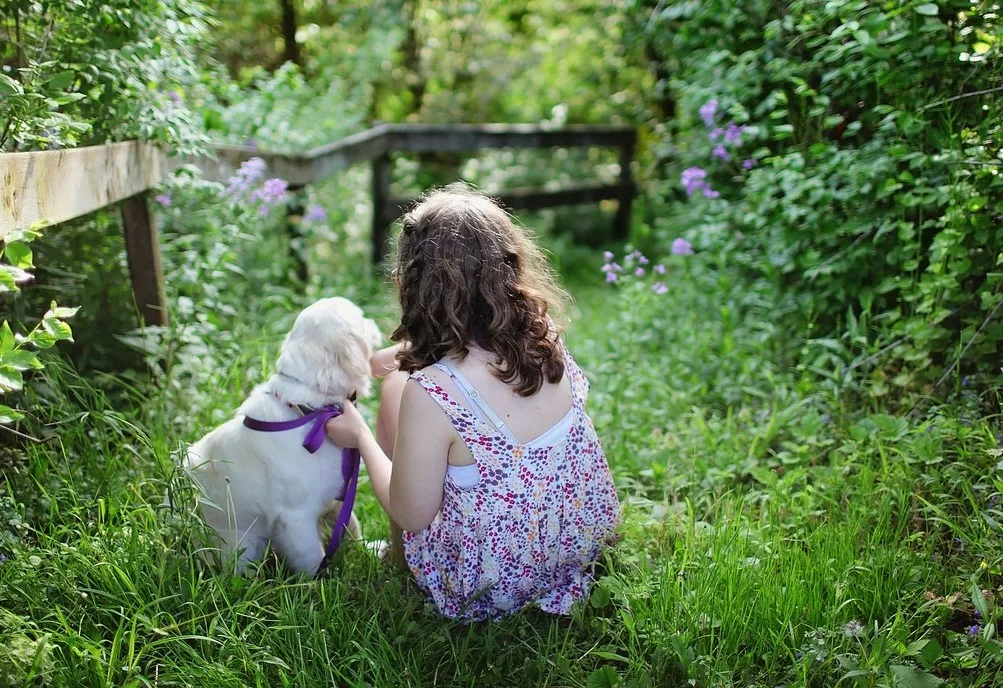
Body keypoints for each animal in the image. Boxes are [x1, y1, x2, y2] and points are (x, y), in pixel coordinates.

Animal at [182, 296, 381, 577]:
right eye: (361, 318)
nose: (374, 322)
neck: (309, 411)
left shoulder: (336, 493)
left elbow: (351, 524)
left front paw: (370, 550)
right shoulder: (296, 517)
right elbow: (312, 556)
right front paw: (321, 583)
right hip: (243, 546)